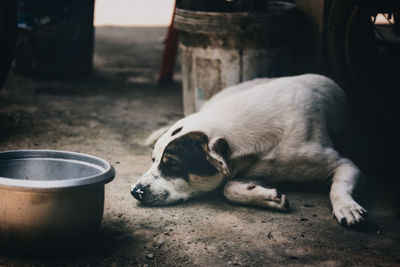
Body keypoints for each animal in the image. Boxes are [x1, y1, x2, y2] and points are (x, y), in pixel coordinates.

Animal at [130, 74, 366, 227]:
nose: (135, 191)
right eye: (153, 160)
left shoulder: (343, 164)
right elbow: (228, 187)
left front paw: (347, 206)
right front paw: (265, 196)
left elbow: (340, 184)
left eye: (172, 164)